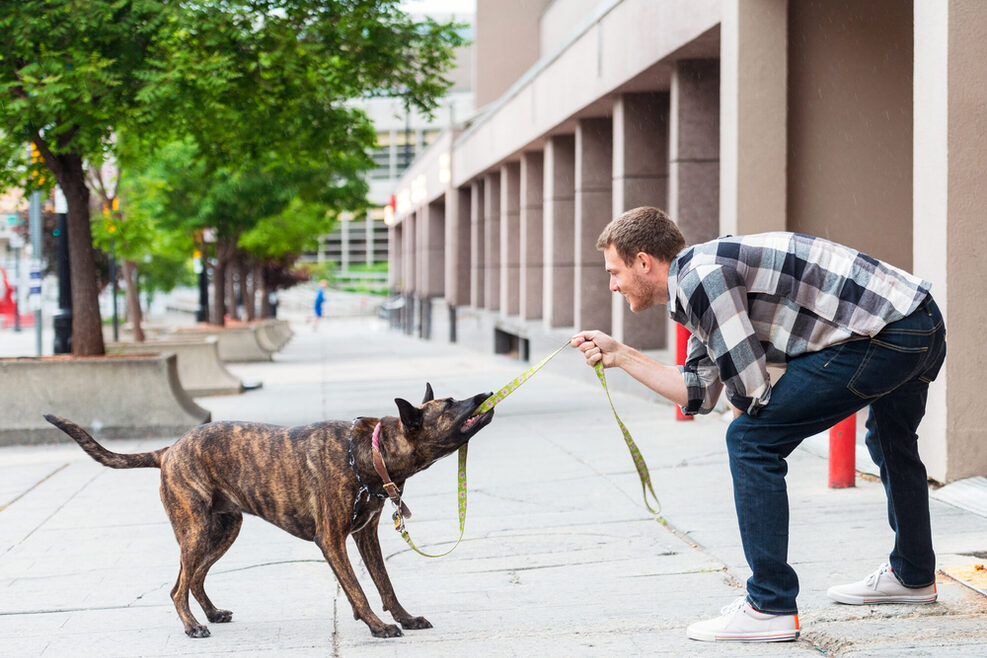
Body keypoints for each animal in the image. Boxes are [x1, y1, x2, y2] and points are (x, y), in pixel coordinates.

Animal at [44, 382, 494, 640]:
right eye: (450, 405)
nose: (484, 395)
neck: (369, 452)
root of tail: (169, 449)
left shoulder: (366, 536)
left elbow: (385, 585)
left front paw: (404, 617)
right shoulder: (332, 540)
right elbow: (358, 588)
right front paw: (377, 625)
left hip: (223, 530)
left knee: (194, 577)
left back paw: (210, 613)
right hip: (195, 530)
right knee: (178, 585)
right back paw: (192, 625)